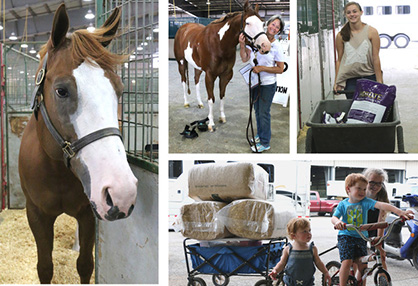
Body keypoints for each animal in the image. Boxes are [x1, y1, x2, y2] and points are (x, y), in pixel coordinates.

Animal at [18, 4, 137, 284]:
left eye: (119, 89)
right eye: (61, 91)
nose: (122, 192)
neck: (56, 170)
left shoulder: (87, 213)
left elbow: (85, 264)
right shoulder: (36, 214)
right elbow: (45, 267)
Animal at [174, 0, 272, 131]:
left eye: (262, 23)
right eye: (248, 23)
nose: (266, 46)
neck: (219, 43)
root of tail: (183, 28)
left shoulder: (226, 75)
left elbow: (222, 96)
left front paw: (222, 117)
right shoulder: (210, 75)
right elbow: (211, 99)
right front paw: (210, 124)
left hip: (197, 66)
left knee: (196, 80)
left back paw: (199, 103)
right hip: (181, 62)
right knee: (184, 80)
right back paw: (186, 102)